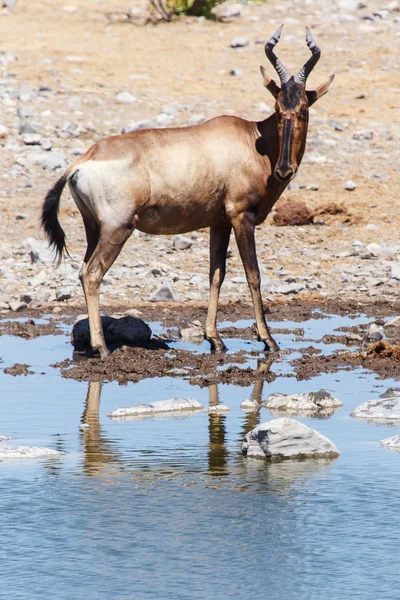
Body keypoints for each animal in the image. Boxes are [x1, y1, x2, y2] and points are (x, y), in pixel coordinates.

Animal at [41, 25, 334, 358]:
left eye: (303, 109)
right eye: (277, 106)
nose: (284, 170)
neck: (252, 139)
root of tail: (83, 160)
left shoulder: (219, 223)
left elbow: (216, 275)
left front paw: (215, 339)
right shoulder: (241, 217)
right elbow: (253, 275)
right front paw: (268, 340)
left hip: (94, 228)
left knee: (82, 271)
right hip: (118, 227)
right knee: (92, 274)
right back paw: (101, 347)